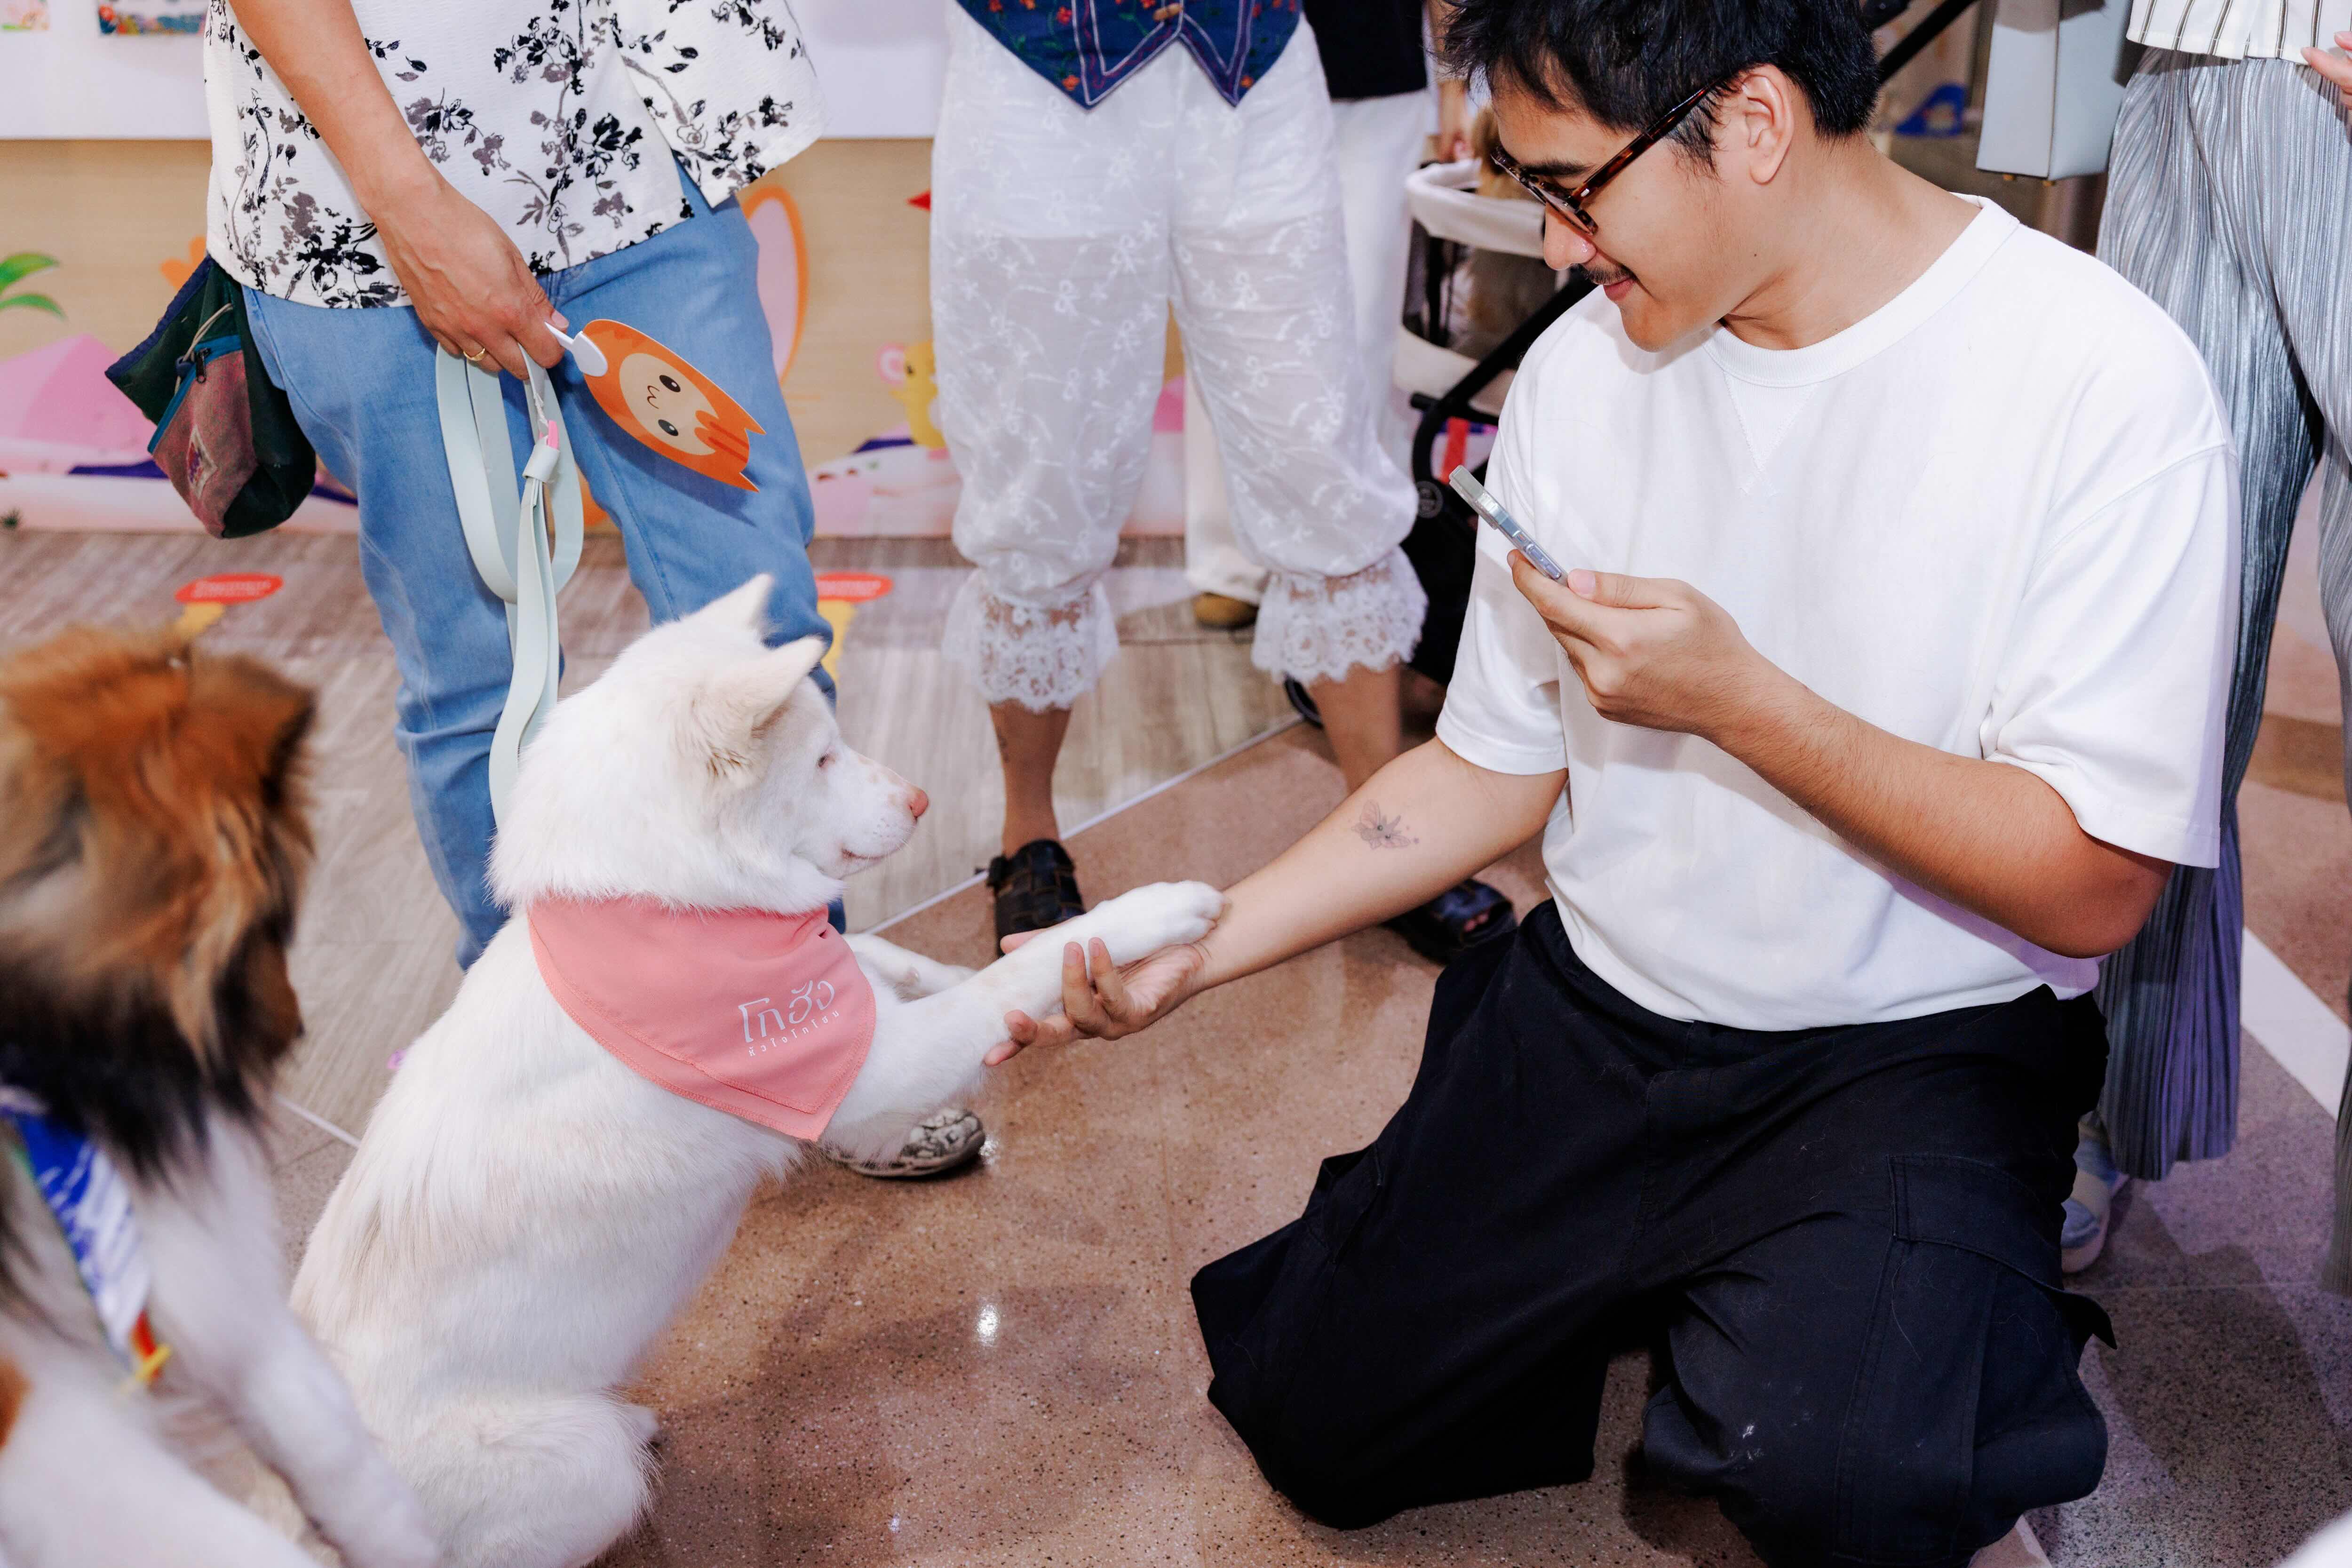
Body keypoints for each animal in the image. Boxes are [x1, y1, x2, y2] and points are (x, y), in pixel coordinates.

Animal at [294, 576, 1226, 1568]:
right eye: (820, 758)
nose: (923, 799)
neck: (663, 909)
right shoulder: (860, 1065)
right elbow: (1011, 977)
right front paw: (1150, 915)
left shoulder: (843, 999)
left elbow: (888, 957)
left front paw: (952, 963)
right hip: (575, 1465)